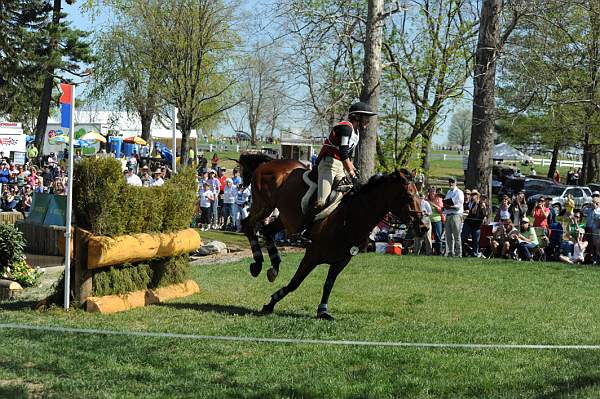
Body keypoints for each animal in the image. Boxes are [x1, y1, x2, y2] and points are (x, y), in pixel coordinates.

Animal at [237, 155, 424, 320]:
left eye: (420, 195)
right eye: (409, 196)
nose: (423, 227)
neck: (350, 216)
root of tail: (270, 162)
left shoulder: (341, 260)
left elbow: (328, 285)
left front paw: (323, 311)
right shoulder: (311, 255)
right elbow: (294, 283)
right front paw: (271, 303)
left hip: (283, 218)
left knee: (267, 231)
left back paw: (274, 266)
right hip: (264, 206)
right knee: (248, 225)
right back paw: (258, 264)